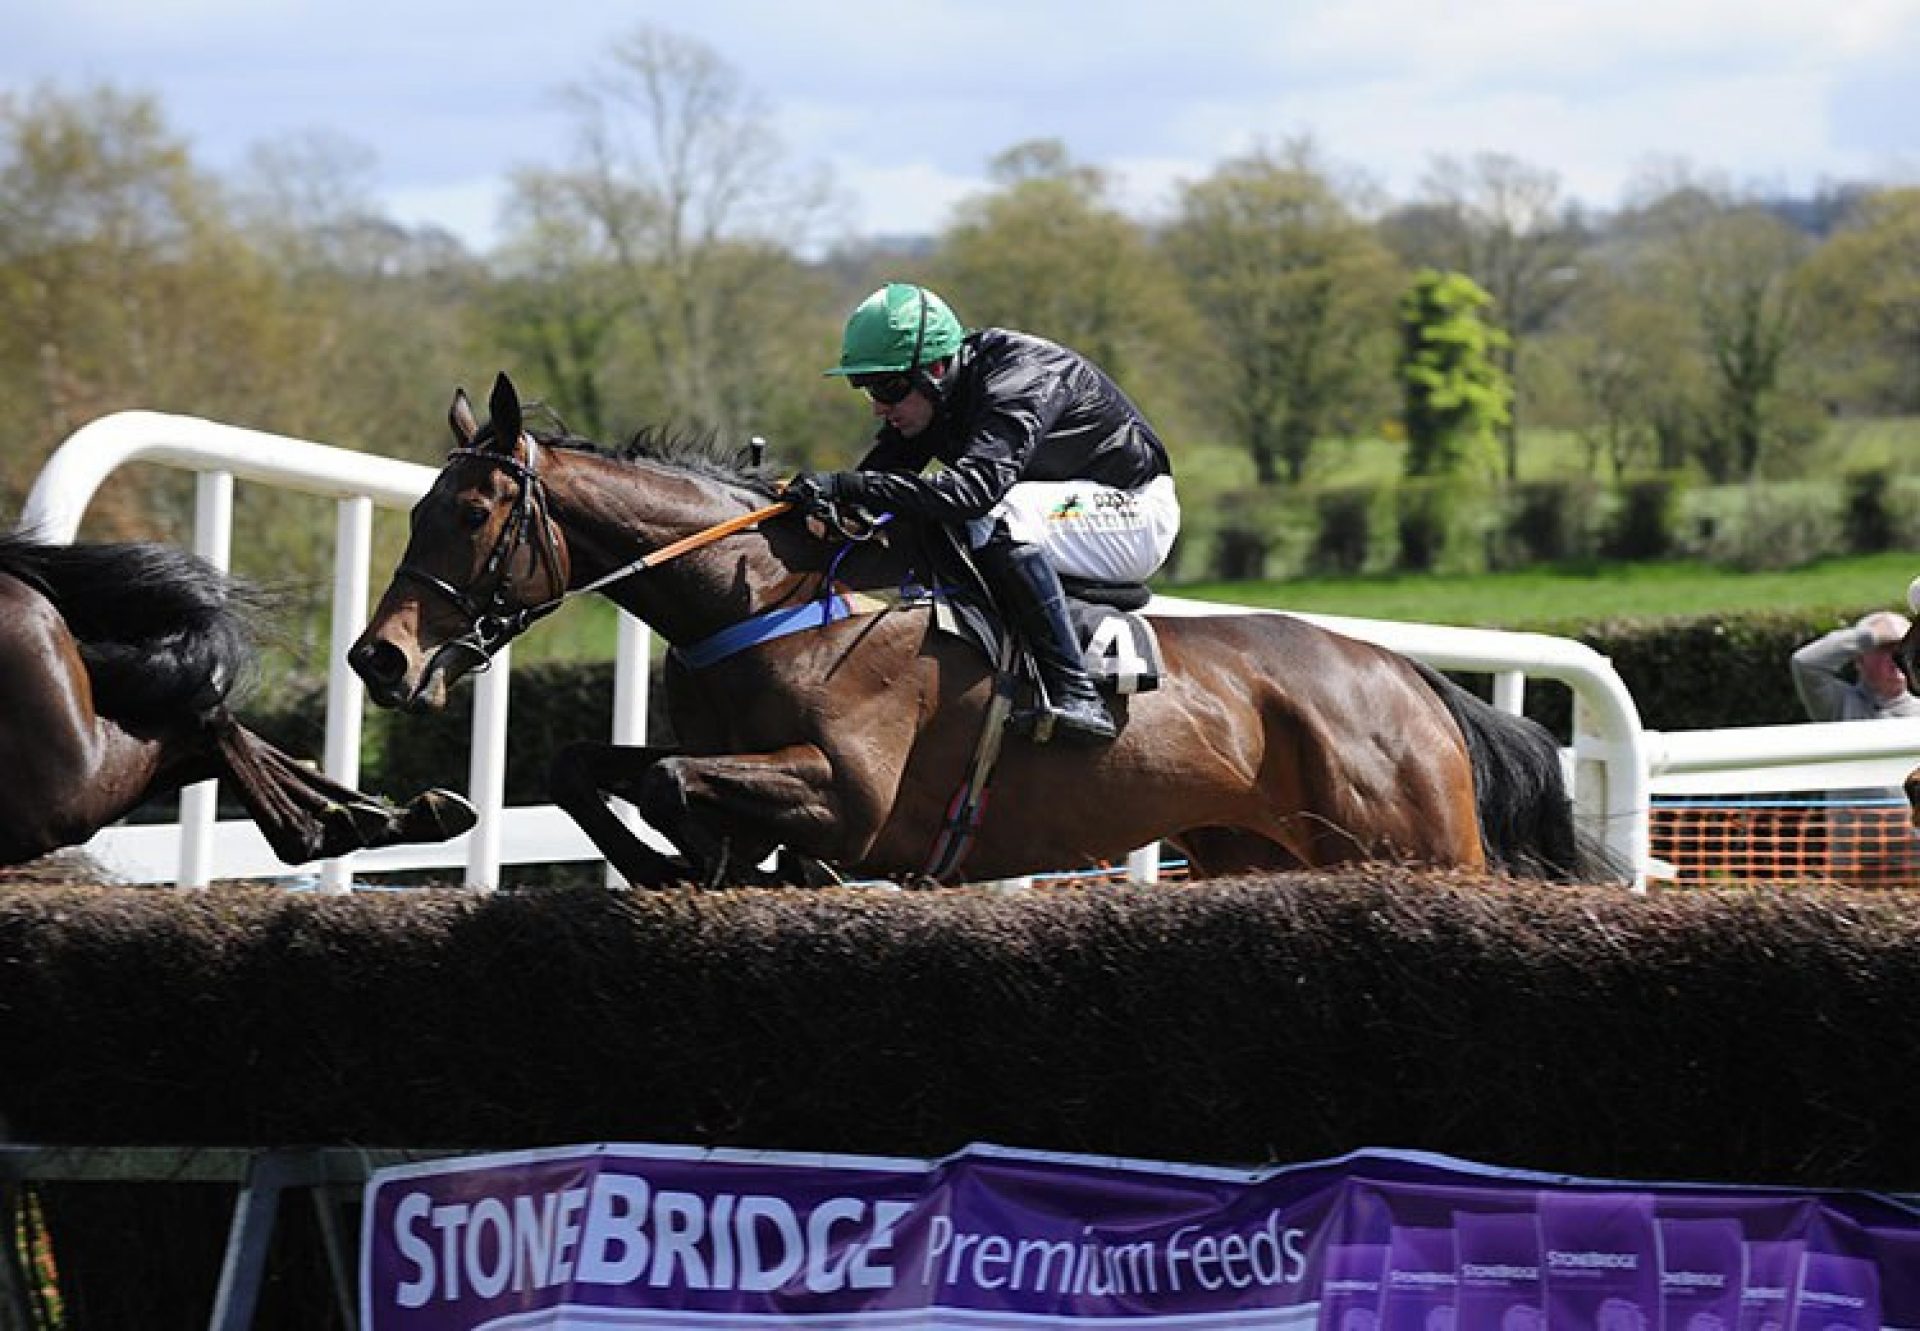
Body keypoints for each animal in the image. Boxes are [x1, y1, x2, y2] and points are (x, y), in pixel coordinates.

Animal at [0, 530, 478, 871]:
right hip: (65, 794)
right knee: (201, 724)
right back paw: (351, 821)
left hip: (69, 788)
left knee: (203, 728)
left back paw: (375, 816)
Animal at [345, 374, 1589, 887]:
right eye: (413, 510)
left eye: (470, 513)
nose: (379, 657)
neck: (763, 598)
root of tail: (1412, 681)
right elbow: (587, 764)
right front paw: (685, 859)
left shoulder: (851, 793)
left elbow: (670, 784)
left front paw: (703, 856)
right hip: (1257, 849)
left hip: (1422, 843)